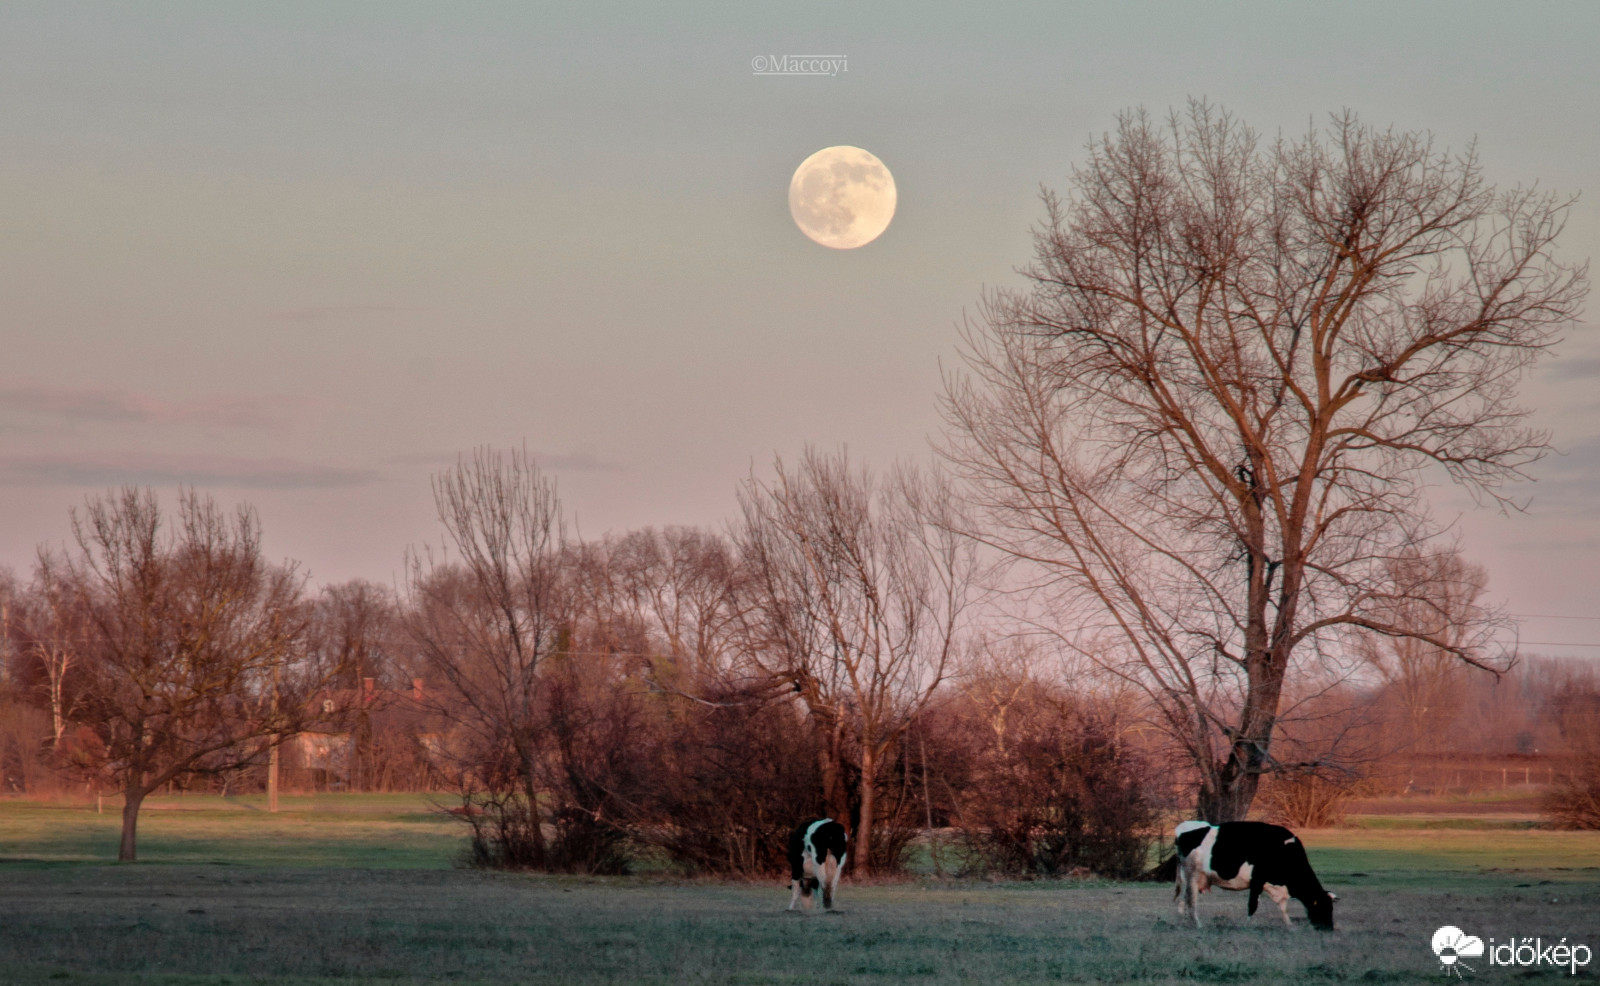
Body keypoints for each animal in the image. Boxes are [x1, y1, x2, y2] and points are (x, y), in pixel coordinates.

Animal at [1177, 819, 1337, 928]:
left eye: (1331, 908)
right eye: (1323, 907)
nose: (1329, 929)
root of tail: (1184, 827)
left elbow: (1283, 907)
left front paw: (1290, 926)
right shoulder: (1257, 881)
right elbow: (1252, 905)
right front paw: (1247, 925)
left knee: (1184, 900)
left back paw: (1184, 922)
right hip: (1192, 876)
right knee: (1191, 902)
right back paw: (1198, 924)